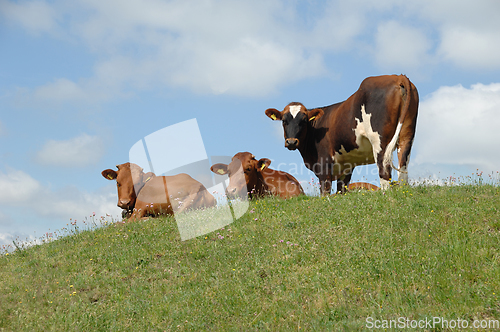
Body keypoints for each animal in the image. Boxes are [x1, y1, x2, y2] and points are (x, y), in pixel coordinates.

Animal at [266, 74, 418, 195]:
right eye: (284, 121)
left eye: (303, 121)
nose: (291, 142)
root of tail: (397, 76)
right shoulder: (346, 168)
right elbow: (341, 191)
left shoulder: (324, 165)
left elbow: (325, 192)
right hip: (407, 136)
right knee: (403, 168)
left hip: (379, 142)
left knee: (384, 170)